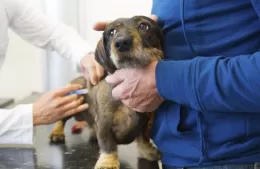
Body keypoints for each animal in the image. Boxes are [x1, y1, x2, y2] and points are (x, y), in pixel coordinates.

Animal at [48, 15, 165, 169]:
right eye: (112, 32)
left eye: (144, 26)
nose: (122, 43)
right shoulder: (104, 123)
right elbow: (108, 145)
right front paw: (108, 163)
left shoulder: (145, 123)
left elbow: (143, 139)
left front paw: (148, 151)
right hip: (73, 102)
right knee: (62, 119)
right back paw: (57, 132)